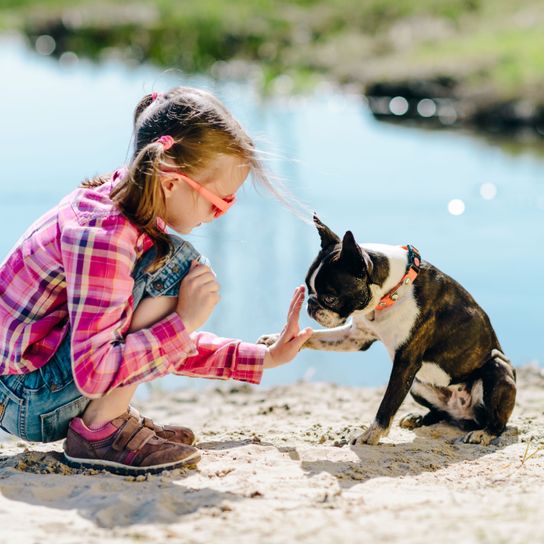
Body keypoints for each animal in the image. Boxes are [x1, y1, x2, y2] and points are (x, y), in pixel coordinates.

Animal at [258, 217, 516, 446]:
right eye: (308, 287)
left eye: (330, 298)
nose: (311, 305)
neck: (392, 290)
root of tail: (465, 415)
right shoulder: (356, 337)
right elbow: (315, 336)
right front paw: (277, 339)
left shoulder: (406, 363)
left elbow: (387, 404)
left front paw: (370, 435)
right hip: (418, 385)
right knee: (443, 414)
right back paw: (420, 418)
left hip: (497, 369)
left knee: (498, 423)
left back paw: (483, 434)